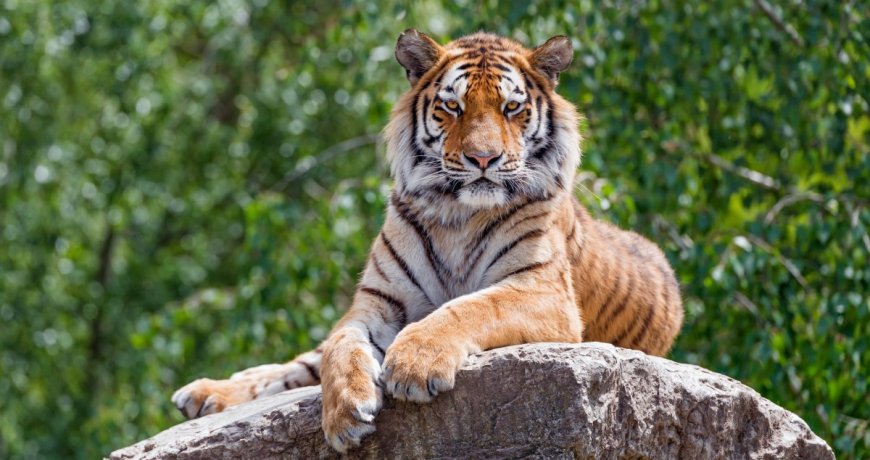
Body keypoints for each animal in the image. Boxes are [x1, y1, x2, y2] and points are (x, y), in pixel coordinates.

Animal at [171, 30, 684, 453]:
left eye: (511, 108)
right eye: (453, 106)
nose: (483, 159)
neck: (458, 214)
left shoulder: (543, 292)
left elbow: (470, 307)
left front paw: (414, 365)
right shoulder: (376, 302)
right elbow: (340, 346)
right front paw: (344, 414)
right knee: (296, 366)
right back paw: (204, 393)